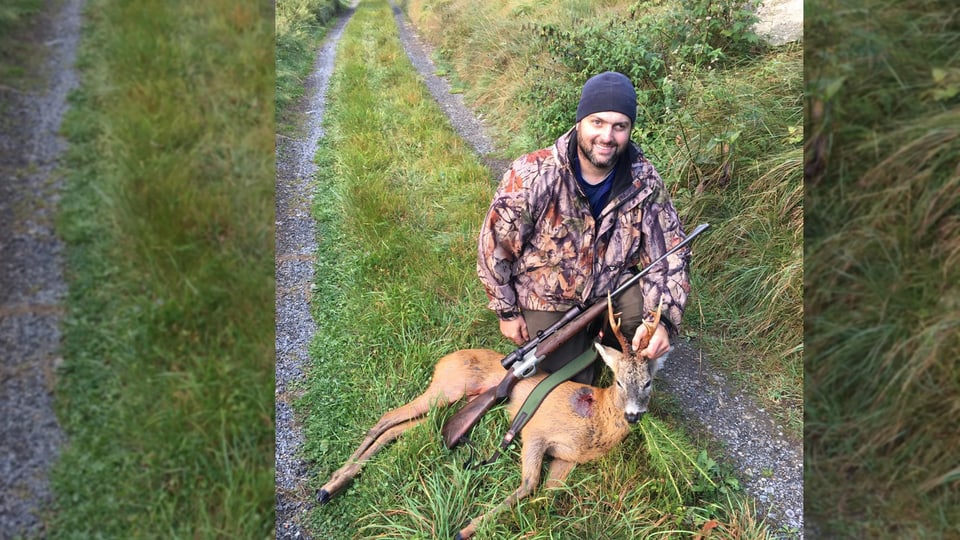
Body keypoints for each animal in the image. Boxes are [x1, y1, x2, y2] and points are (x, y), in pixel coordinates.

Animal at [318, 298, 664, 536]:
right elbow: (529, 484)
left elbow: (547, 495)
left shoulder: (567, 459)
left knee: (406, 428)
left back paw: (334, 484)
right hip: (446, 388)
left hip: (456, 404)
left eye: (648, 382)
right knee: (388, 417)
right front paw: (465, 530)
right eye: (619, 381)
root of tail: (444, 359)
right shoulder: (534, 432)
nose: (634, 415)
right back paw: (331, 484)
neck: (595, 423)